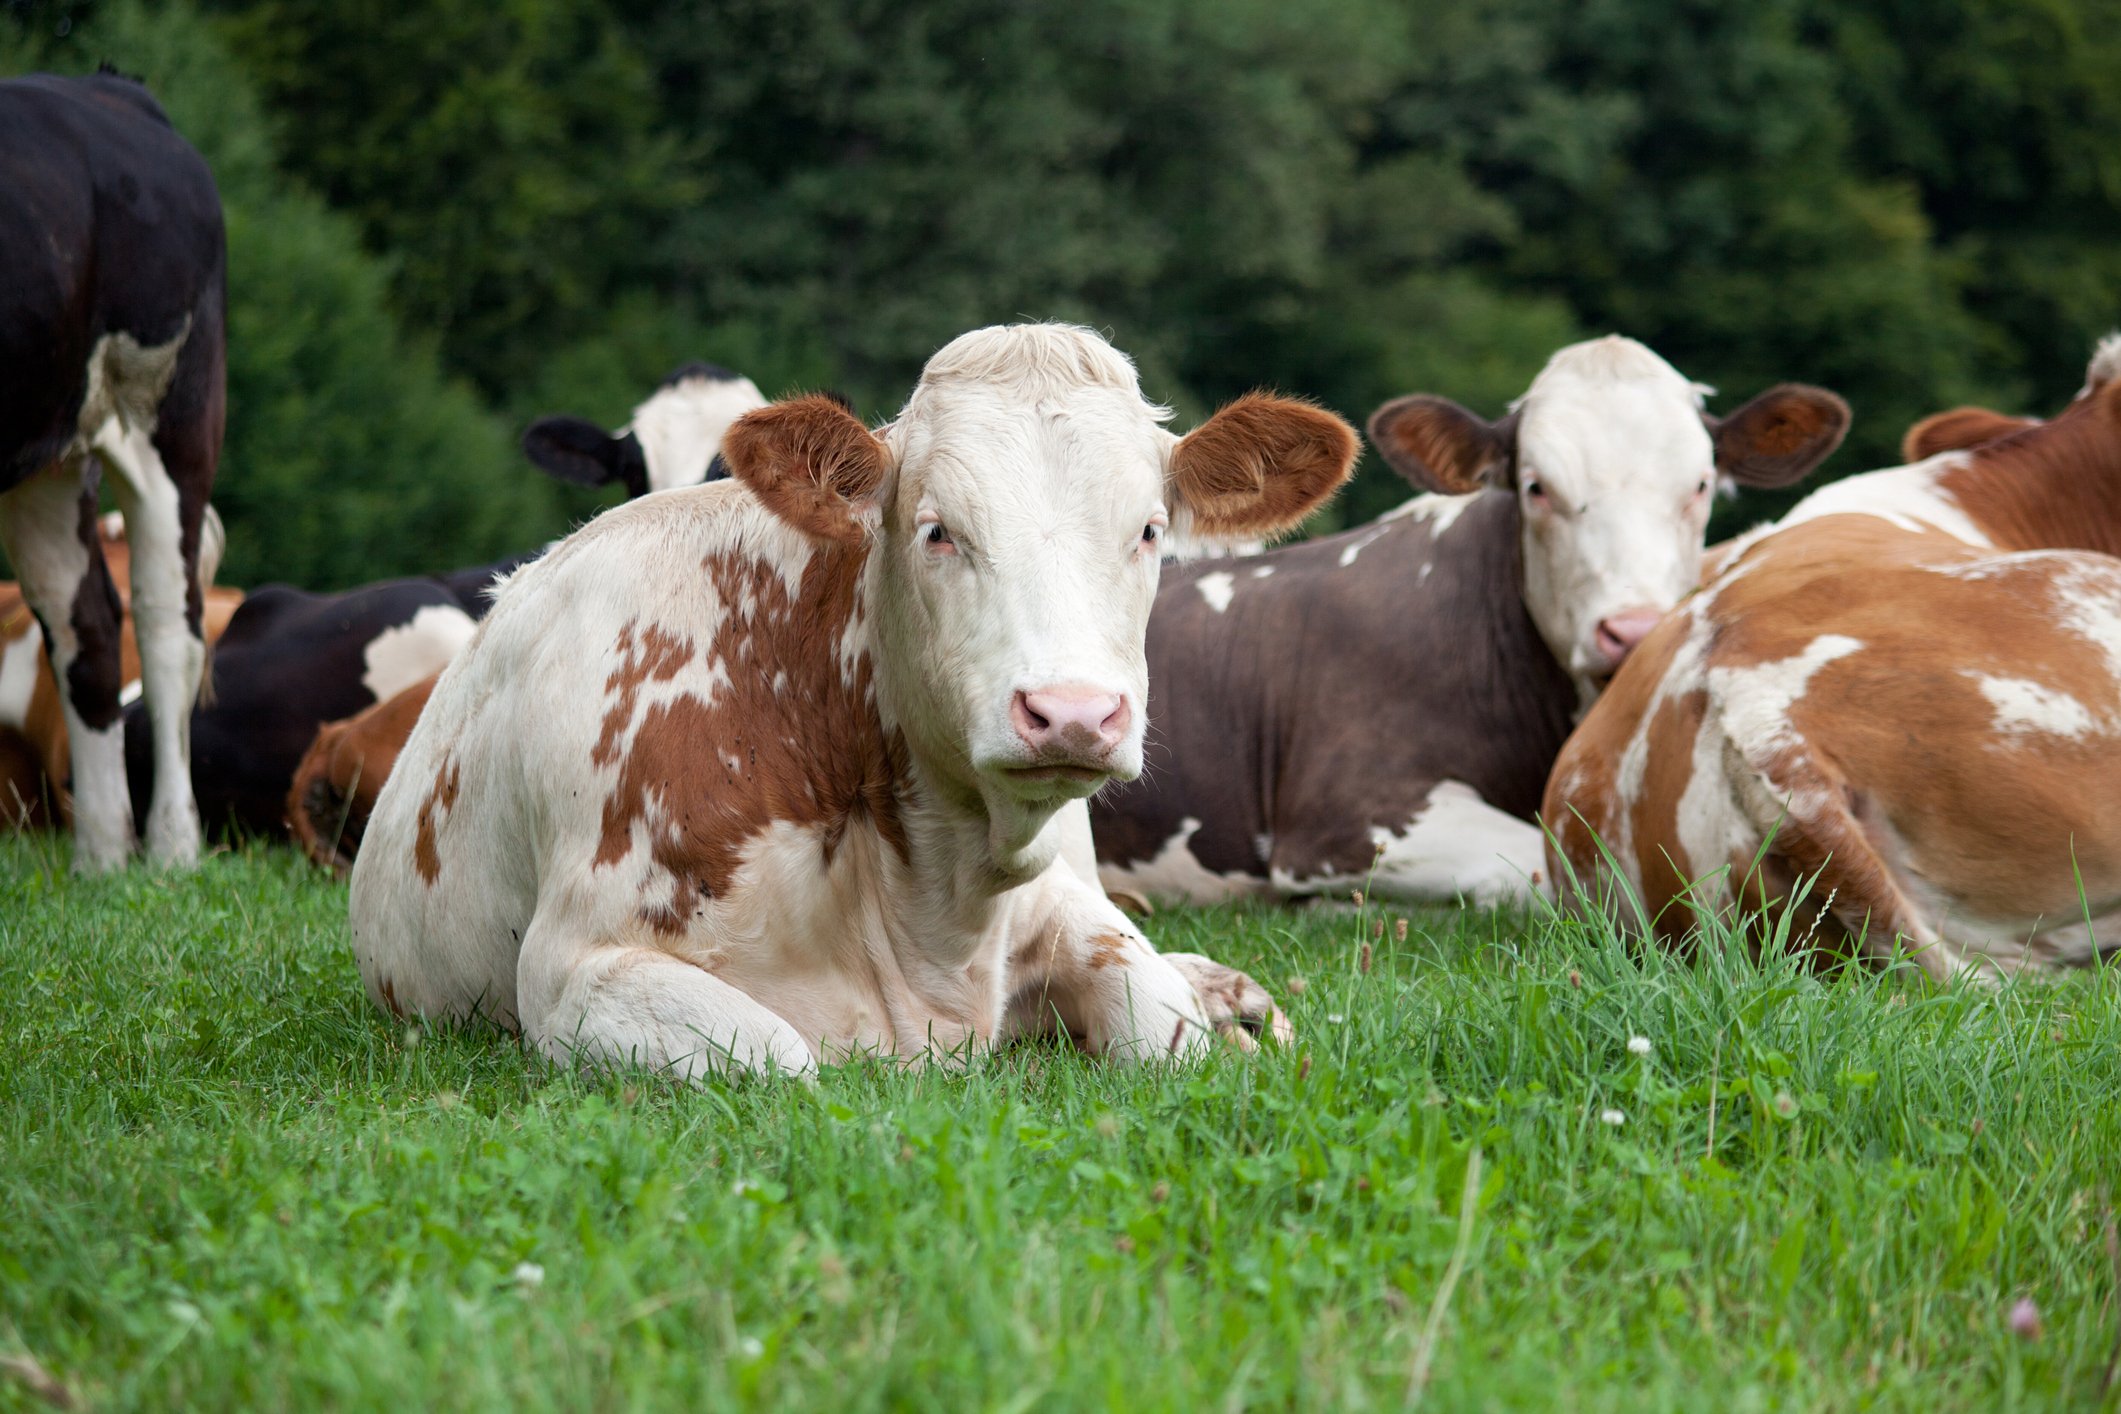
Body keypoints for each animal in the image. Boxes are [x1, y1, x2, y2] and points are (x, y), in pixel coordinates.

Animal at [348, 323, 1356, 1079]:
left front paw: (1220, 1019)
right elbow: (780, 1055)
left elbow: (1158, 1023)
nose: (1070, 713)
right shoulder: (573, 973)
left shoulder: (1058, 901)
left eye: (1148, 530)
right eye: (937, 531)